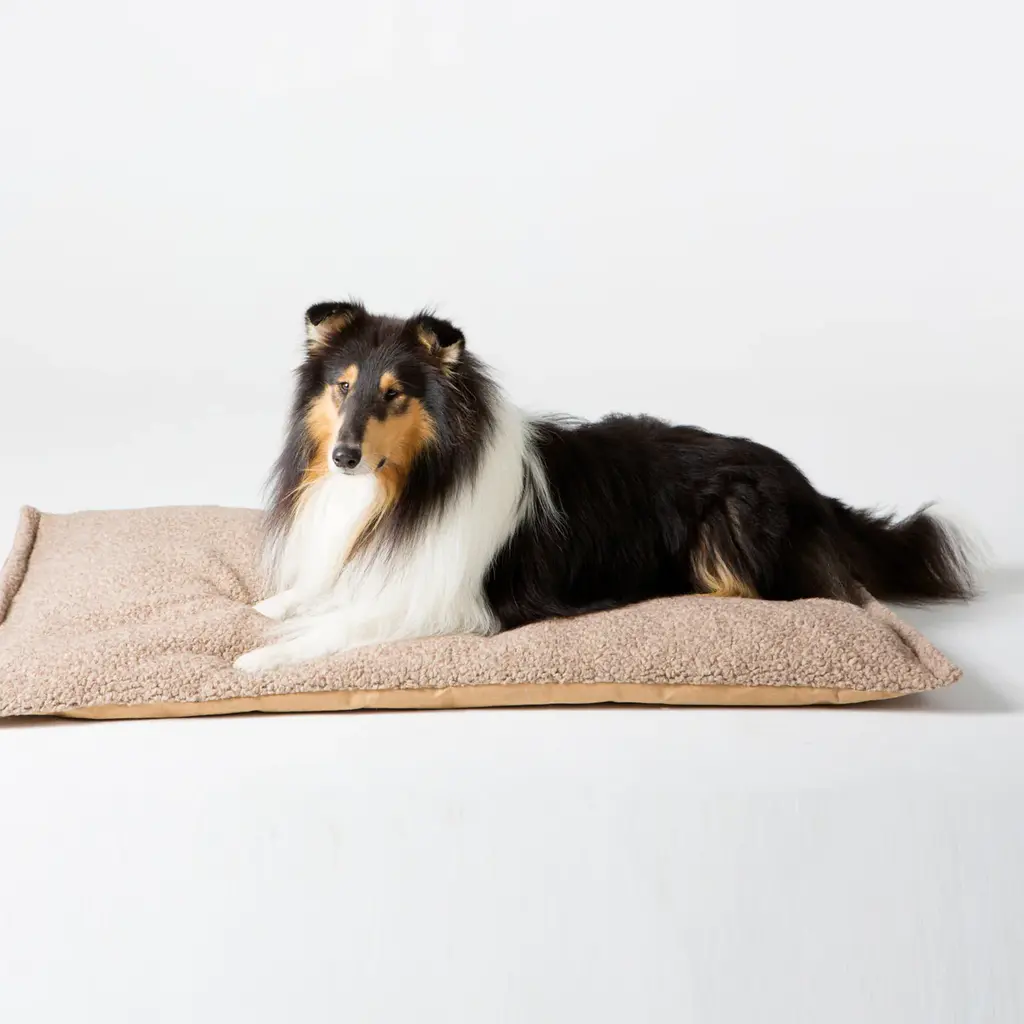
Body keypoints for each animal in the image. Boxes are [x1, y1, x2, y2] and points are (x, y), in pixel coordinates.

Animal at [233, 301, 974, 672]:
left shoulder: (452, 604)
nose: (344, 457)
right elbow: (311, 595)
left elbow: (340, 626)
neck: (407, 488)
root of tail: (810, 487)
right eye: (343, 386)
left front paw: (259, 660)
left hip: (730, 532)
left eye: (394, 395)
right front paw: (265, 610)